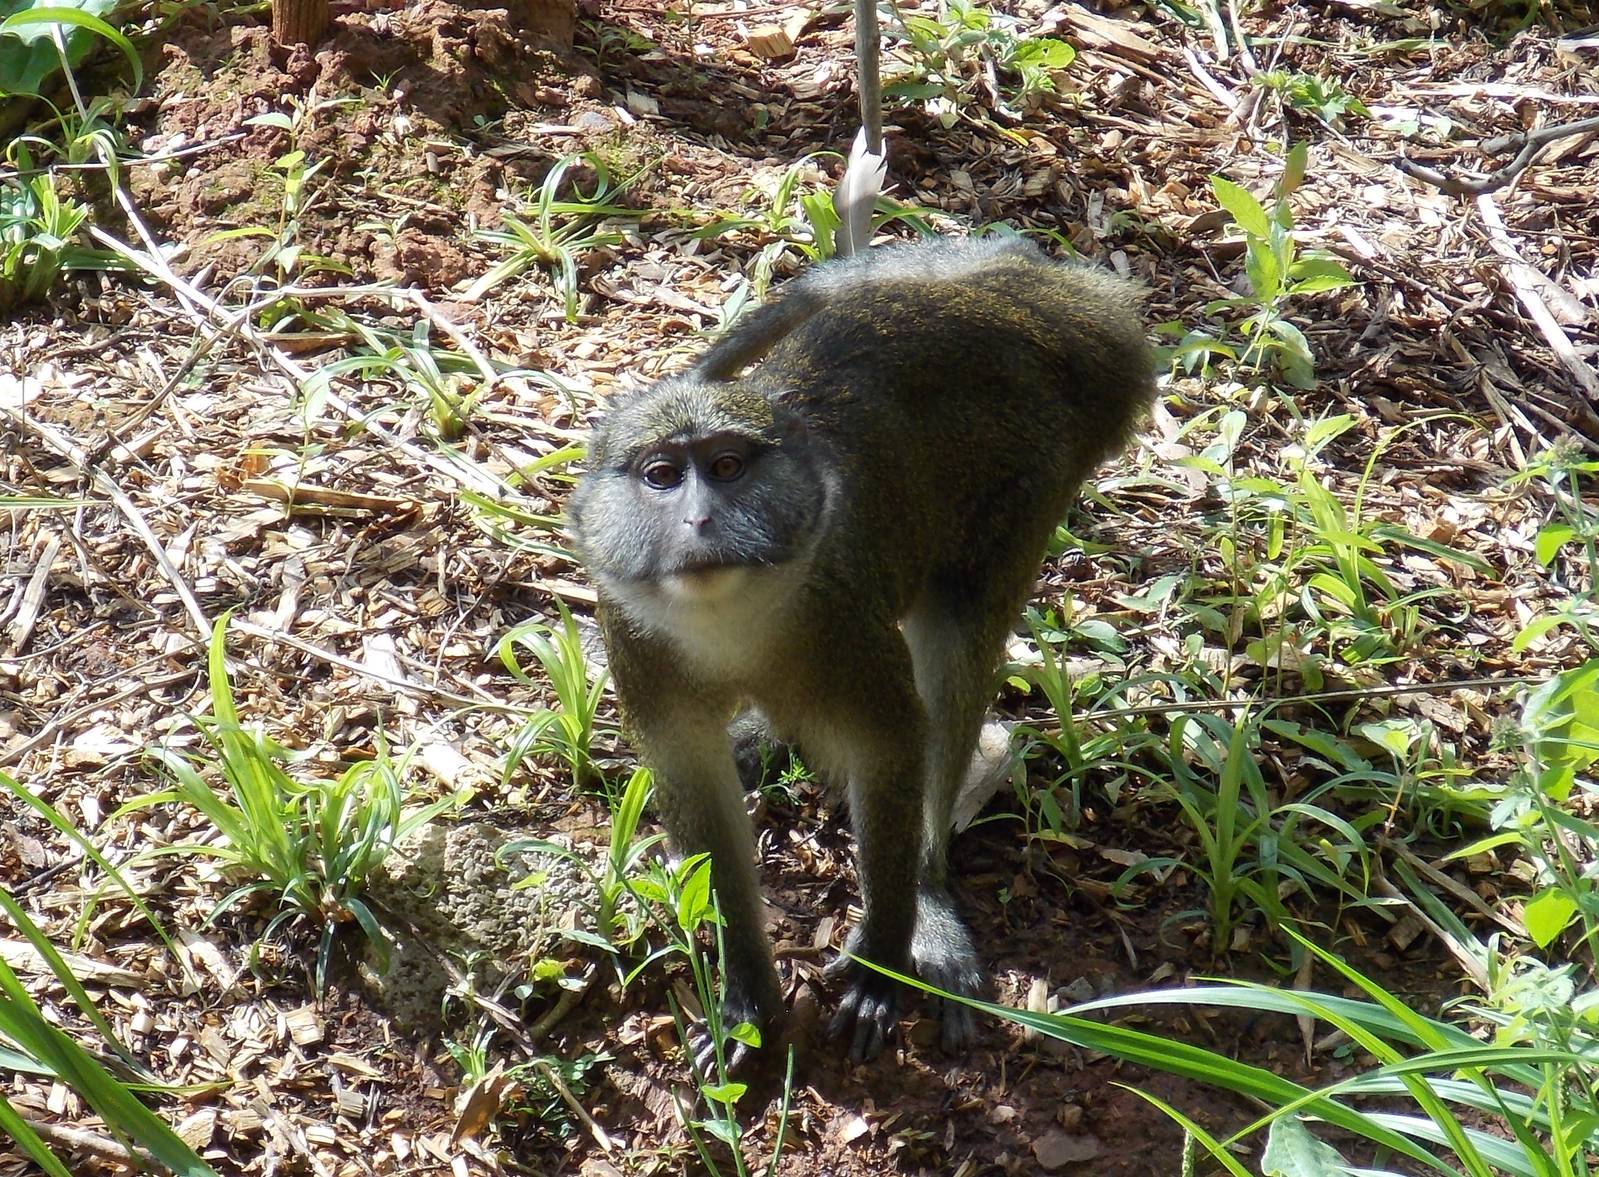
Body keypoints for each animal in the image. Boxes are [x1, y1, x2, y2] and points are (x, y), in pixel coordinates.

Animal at [566, 235, 1157, 1063]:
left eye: (726, 468)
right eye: (660, 476)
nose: (700, 521)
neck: (735, 617)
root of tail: (1043, 300)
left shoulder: (842, 614)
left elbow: (894, 741)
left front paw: (880, 957)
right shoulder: (635, 640)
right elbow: (701, 798)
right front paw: (749, 994)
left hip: (1036, 479)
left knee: (955, 650)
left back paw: (929, 894)